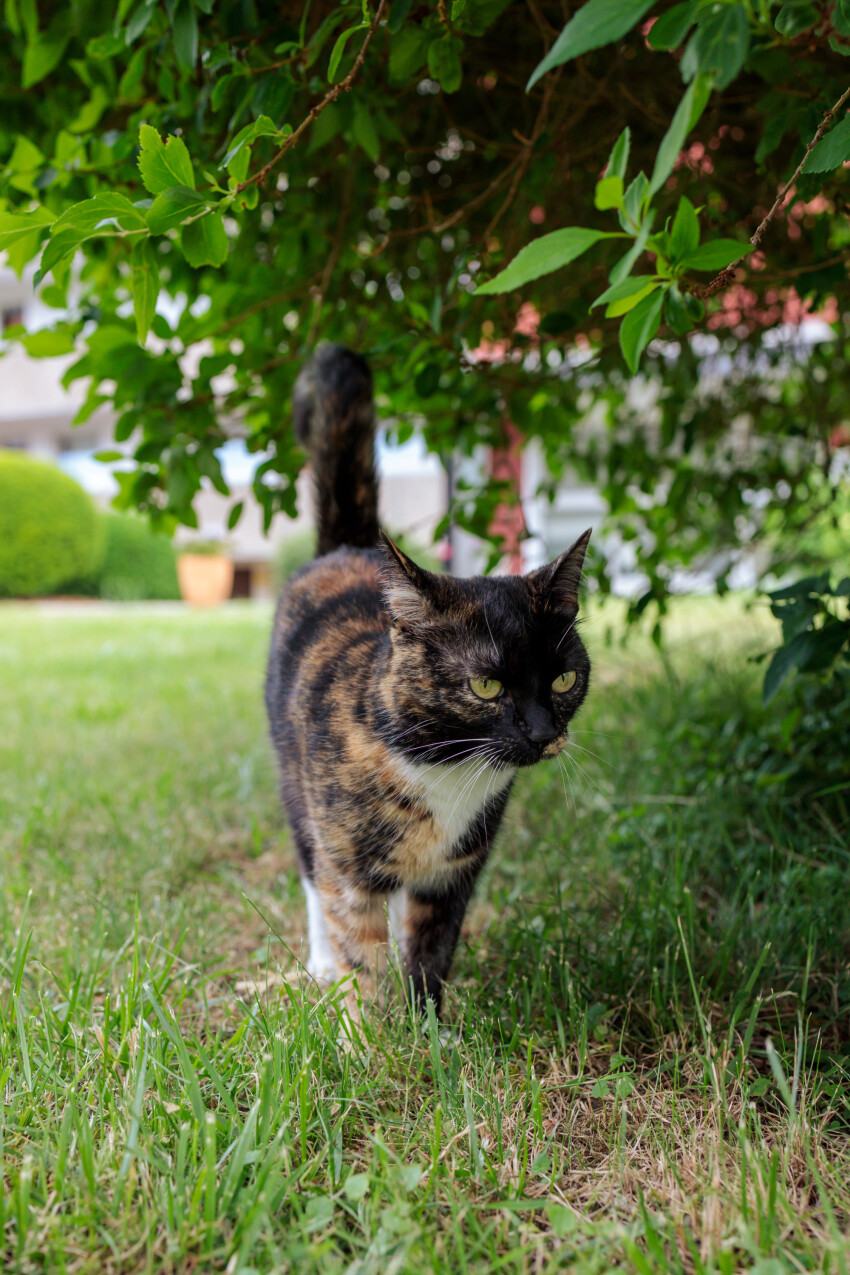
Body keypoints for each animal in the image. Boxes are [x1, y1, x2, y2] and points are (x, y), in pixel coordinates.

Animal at [266, 341, 591, 1014]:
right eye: (486, 685)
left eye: (564, 681)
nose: (543, 732)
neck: (445, 767)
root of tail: (348, 547)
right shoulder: (349, 869)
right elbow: (358, 954)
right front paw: (364, 1031)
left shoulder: (453, 875)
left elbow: (431, 954)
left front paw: (428, 1027)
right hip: (295, 789)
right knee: (311, 877)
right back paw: (319, 964)